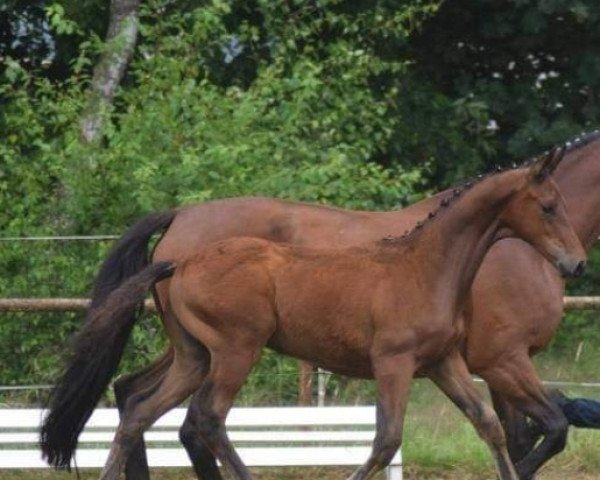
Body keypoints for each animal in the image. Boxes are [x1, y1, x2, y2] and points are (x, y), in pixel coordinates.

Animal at [43, 151, 584, 480]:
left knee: (139, 412)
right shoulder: (395, 362)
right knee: (206, 418)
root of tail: (180, 260)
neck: (428, 266)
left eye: (562, 203)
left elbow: (489, 426)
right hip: (236, 350)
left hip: (193, 356)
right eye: (548, 205)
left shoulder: (443, 362)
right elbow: (386, 441)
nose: (576, 263)